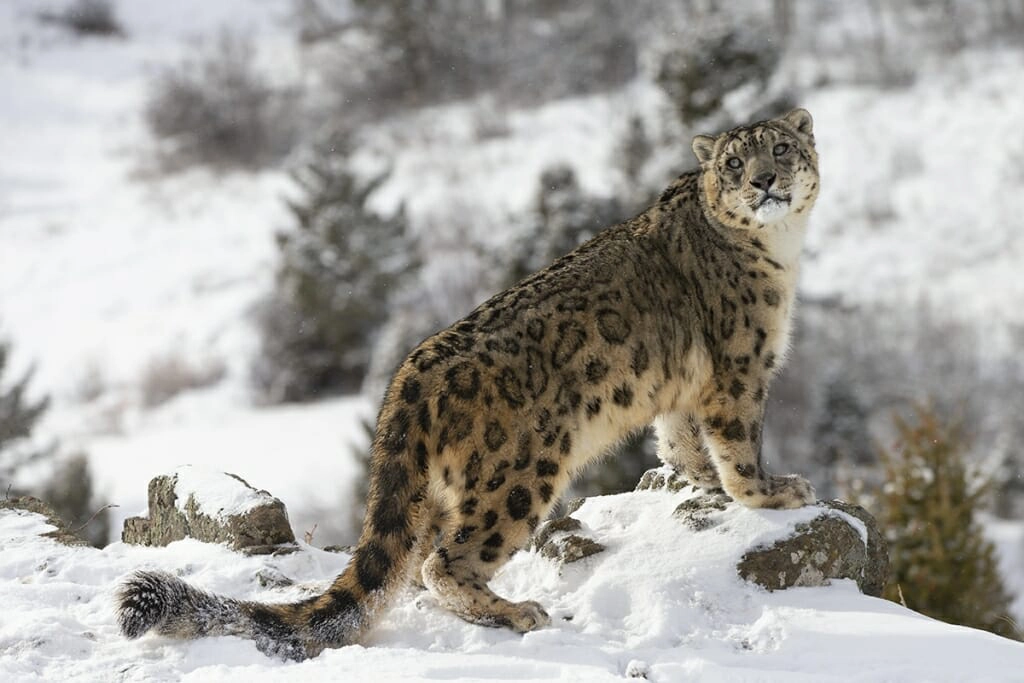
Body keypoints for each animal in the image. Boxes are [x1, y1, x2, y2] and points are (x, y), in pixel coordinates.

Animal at [117, 108, 820, 661]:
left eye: (782, 148)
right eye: (735, 162)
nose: (764, 180)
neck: (782, 252)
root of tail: (409, 374)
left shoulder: (683, 389)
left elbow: (680, 441)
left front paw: (699, 482)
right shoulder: (739, 369)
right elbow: (738, 443)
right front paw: (773, 492)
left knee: (415, 563)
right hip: (519, 474)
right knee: (443, 562)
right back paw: (517, 610)